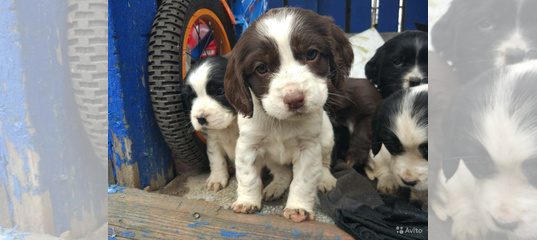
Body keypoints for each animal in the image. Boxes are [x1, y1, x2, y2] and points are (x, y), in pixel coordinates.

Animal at [182, 55, 237, 191]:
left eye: (220, 91)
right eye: (191, 97)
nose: (200, 118)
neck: (230, 126)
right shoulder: (213, 141)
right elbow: (216, 159)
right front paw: (216, 179)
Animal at [223, 7, 352, 222]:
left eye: (311, 54)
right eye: (261, 68)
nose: (295, 99)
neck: (280, 122)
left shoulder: (308, 147)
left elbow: (303, 180)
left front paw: (298, 208)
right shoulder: (248, 145)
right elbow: (248, 176)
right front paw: (247, 201)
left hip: (326, 137)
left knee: (324, 163)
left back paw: (325, 180)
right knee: (282, 172)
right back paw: (275, 187)